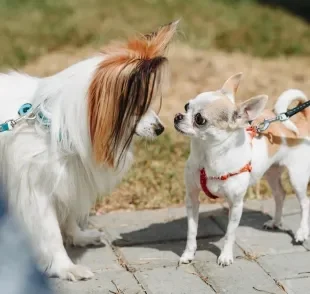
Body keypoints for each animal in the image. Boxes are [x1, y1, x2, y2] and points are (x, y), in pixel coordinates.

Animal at [0, 20, 177, 280]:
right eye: (137, 106)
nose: (160, 128)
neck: (51, 124)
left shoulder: (70, 179)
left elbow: (69, 215)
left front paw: (78, 237)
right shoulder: (36, 192)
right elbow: (51, 234)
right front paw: (66, 267)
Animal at [174, 73, 310, 266]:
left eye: (200, 119)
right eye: (187, 106)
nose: (178, 116)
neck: (208, 156)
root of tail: (301, 118)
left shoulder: (236, 204)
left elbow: (229, 234)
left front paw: (225, 256)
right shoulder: (192, 198)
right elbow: (191, 231)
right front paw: (188, 254)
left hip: (297, 177)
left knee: (304, 203)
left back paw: (301, 233)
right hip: (271, 173)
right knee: (280, 195)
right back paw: (275, 222)